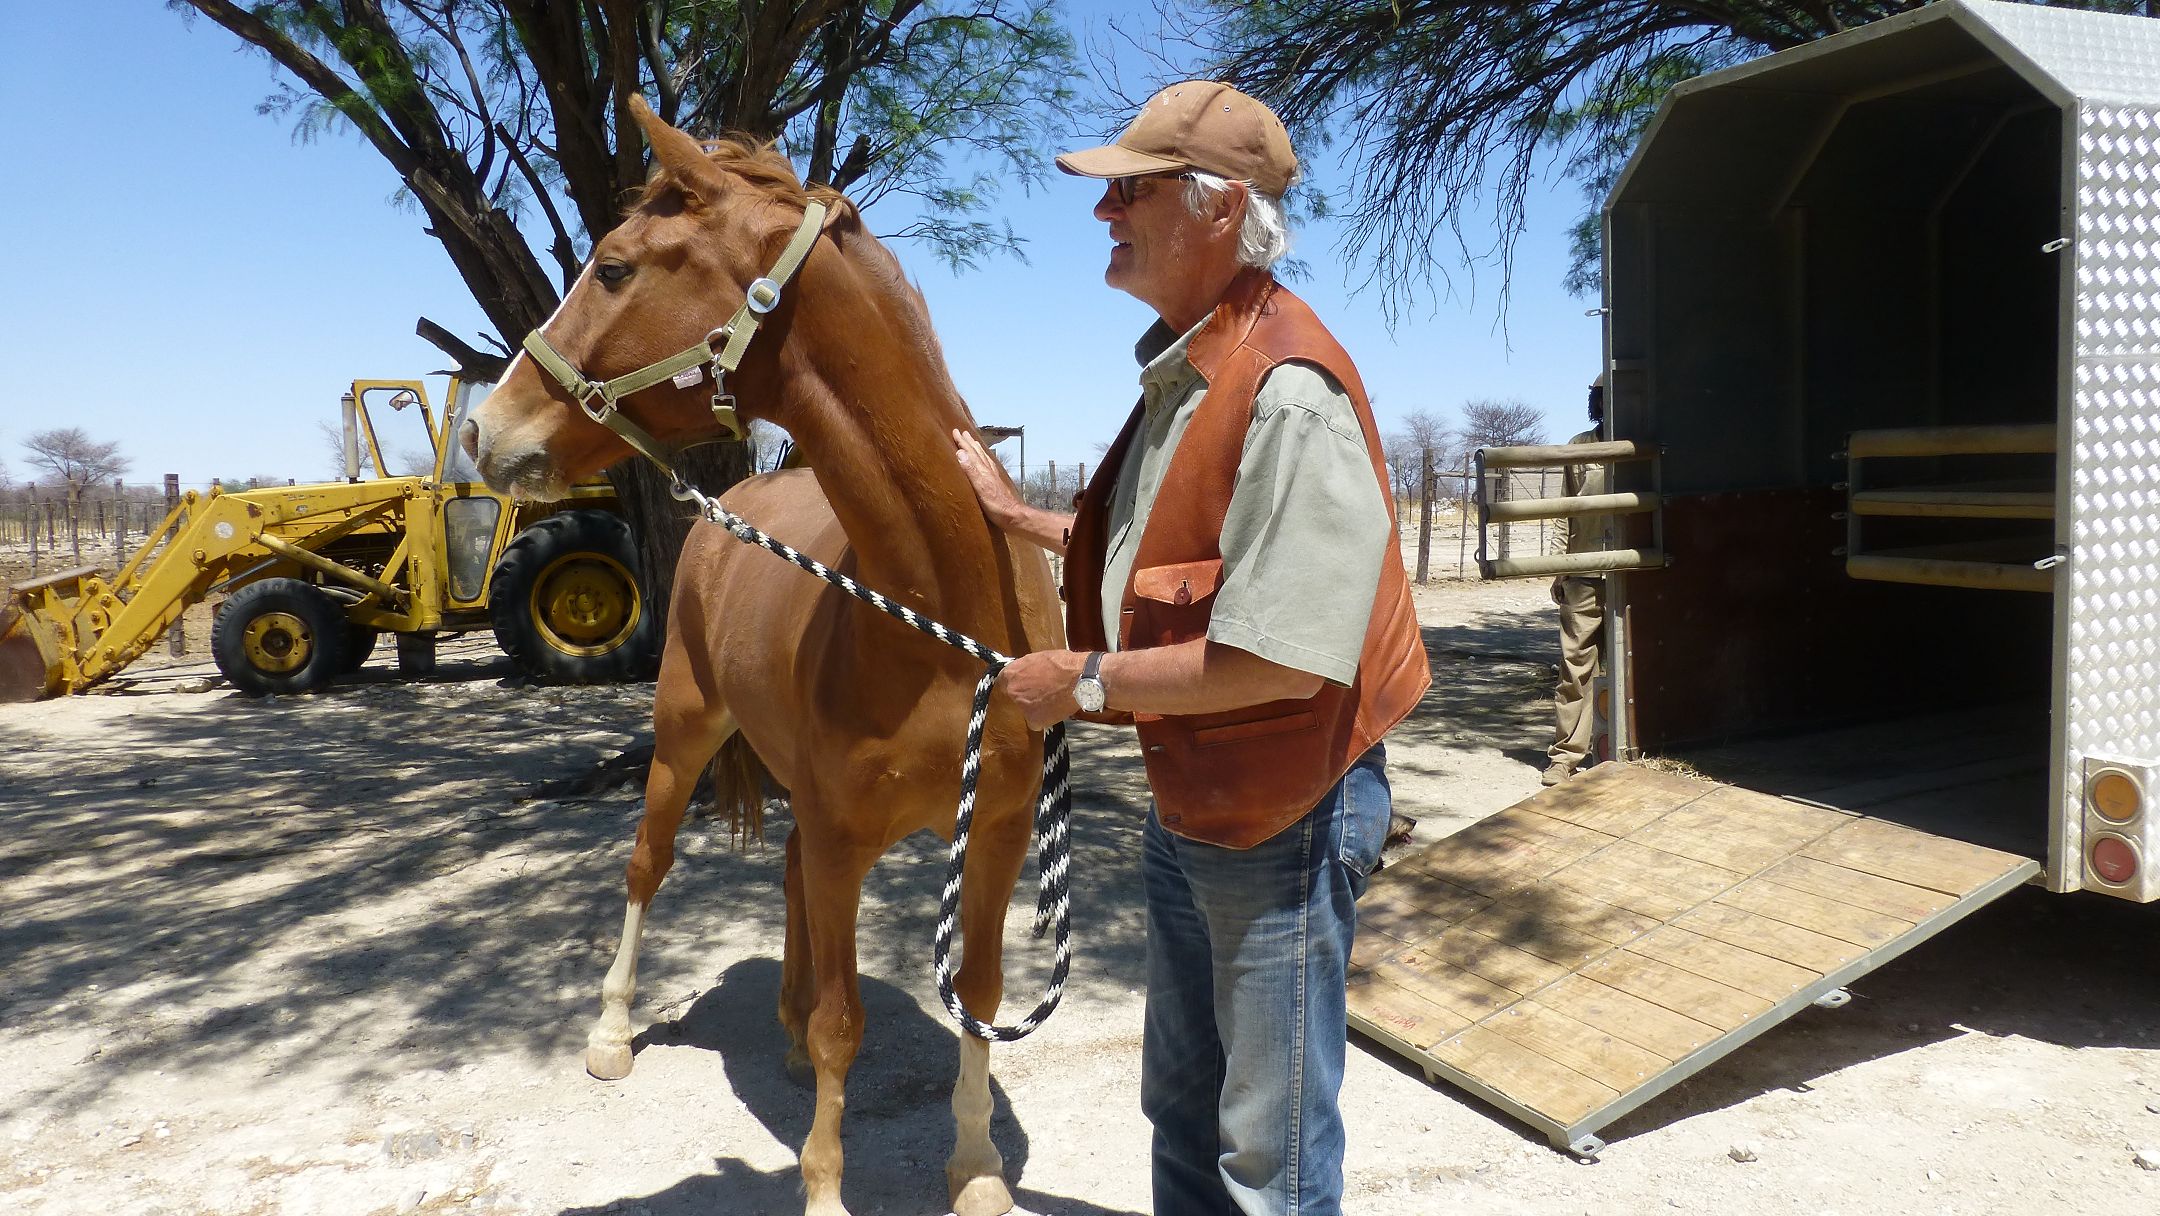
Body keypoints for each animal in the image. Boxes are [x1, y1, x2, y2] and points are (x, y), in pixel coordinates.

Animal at [464, 97, 1062, 1216]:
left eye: (614, 267)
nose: (485, 431)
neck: (940, 620)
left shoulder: (995, 834)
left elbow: (977, 995)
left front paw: (974, 1166)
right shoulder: (839, 833)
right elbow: (843, 1023)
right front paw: (824, 1185)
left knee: (778, 876)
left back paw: (776, 1030)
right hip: (684, 734)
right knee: (647, 863)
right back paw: (613, 1029)